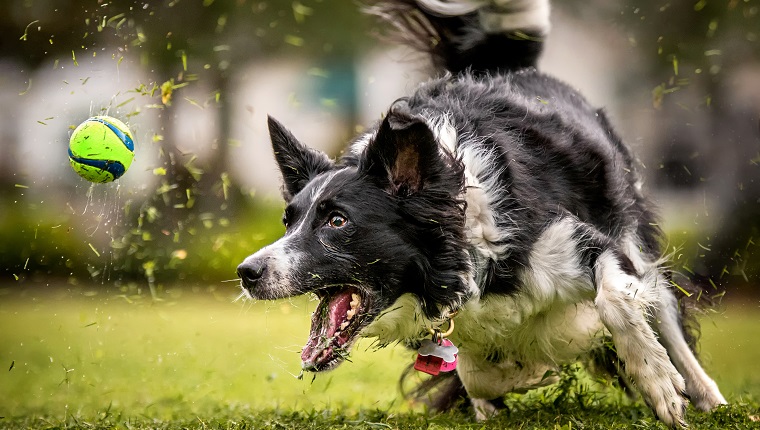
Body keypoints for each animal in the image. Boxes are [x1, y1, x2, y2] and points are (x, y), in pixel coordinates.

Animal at [236, 0, 724, 424]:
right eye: (288, 220)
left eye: (337, 221)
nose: (246, 272)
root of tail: (505, 67)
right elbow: (478, 373)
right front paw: (521, 374)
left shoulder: (580, 243)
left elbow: (614, 302)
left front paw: (657, 382)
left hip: (631, 232)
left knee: (665, 310)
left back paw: (705, 396)